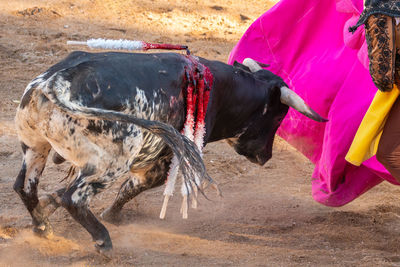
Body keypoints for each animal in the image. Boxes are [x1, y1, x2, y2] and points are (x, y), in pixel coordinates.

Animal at [14, 51, 324, 255]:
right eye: (278, 116)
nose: (266, 156)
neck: (222, 88)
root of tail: (53, 83)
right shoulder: (163, 159)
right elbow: (137, 185)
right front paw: (112, 216)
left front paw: (50, 204)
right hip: (112, 161)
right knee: (75, 197)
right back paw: (103, 240)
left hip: (35, 146)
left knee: (25, 186)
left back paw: (43, 227)